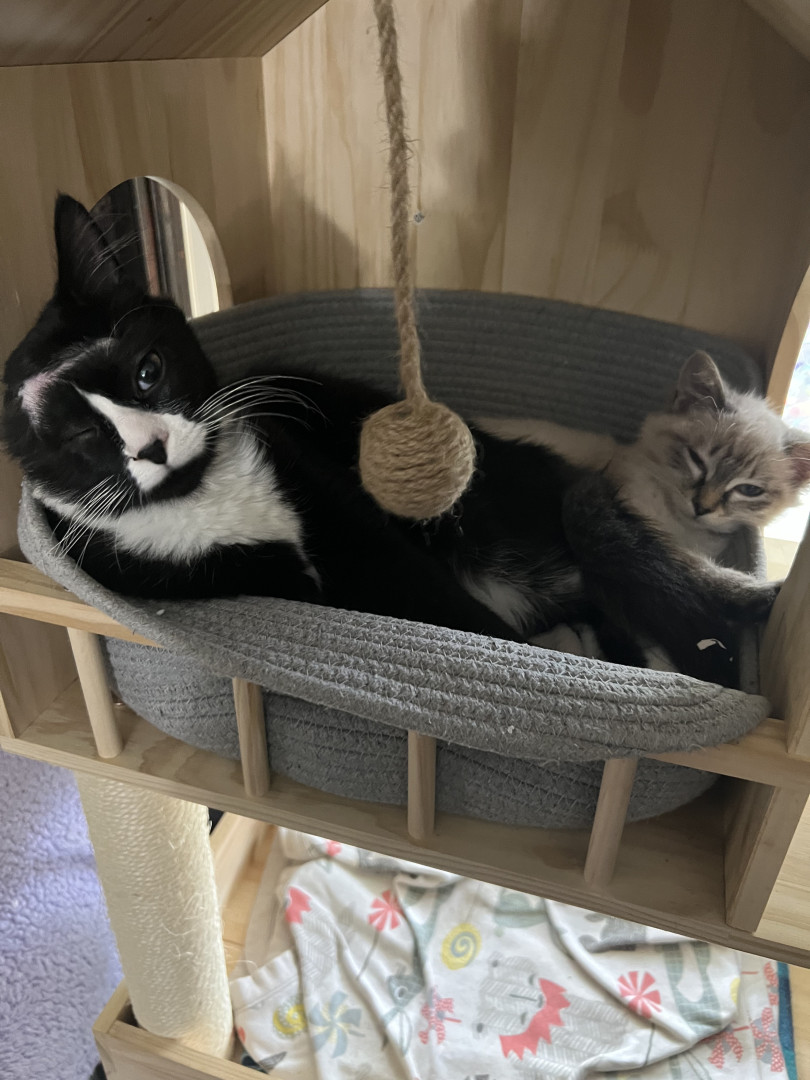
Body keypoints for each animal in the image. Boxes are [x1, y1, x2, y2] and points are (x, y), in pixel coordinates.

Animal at [1, 195, 783, 686]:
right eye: (79, 436)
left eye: (148, 371)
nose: (153, 447)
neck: (211, 496)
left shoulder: (336, 504)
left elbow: (437, 598)